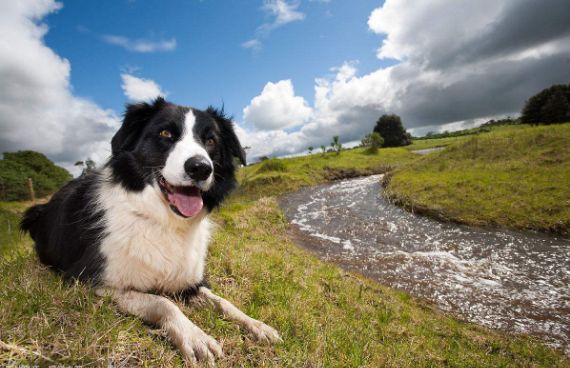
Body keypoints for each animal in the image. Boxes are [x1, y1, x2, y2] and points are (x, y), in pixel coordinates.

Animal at [20, 97, 282, 362]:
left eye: (211, 140)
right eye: (165, 133)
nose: (200, 168)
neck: (163, 219)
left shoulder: (190, 281)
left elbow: (224, 302)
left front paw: (257, 325)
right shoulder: (95, 283)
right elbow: (163, 303)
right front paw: (195, 337)